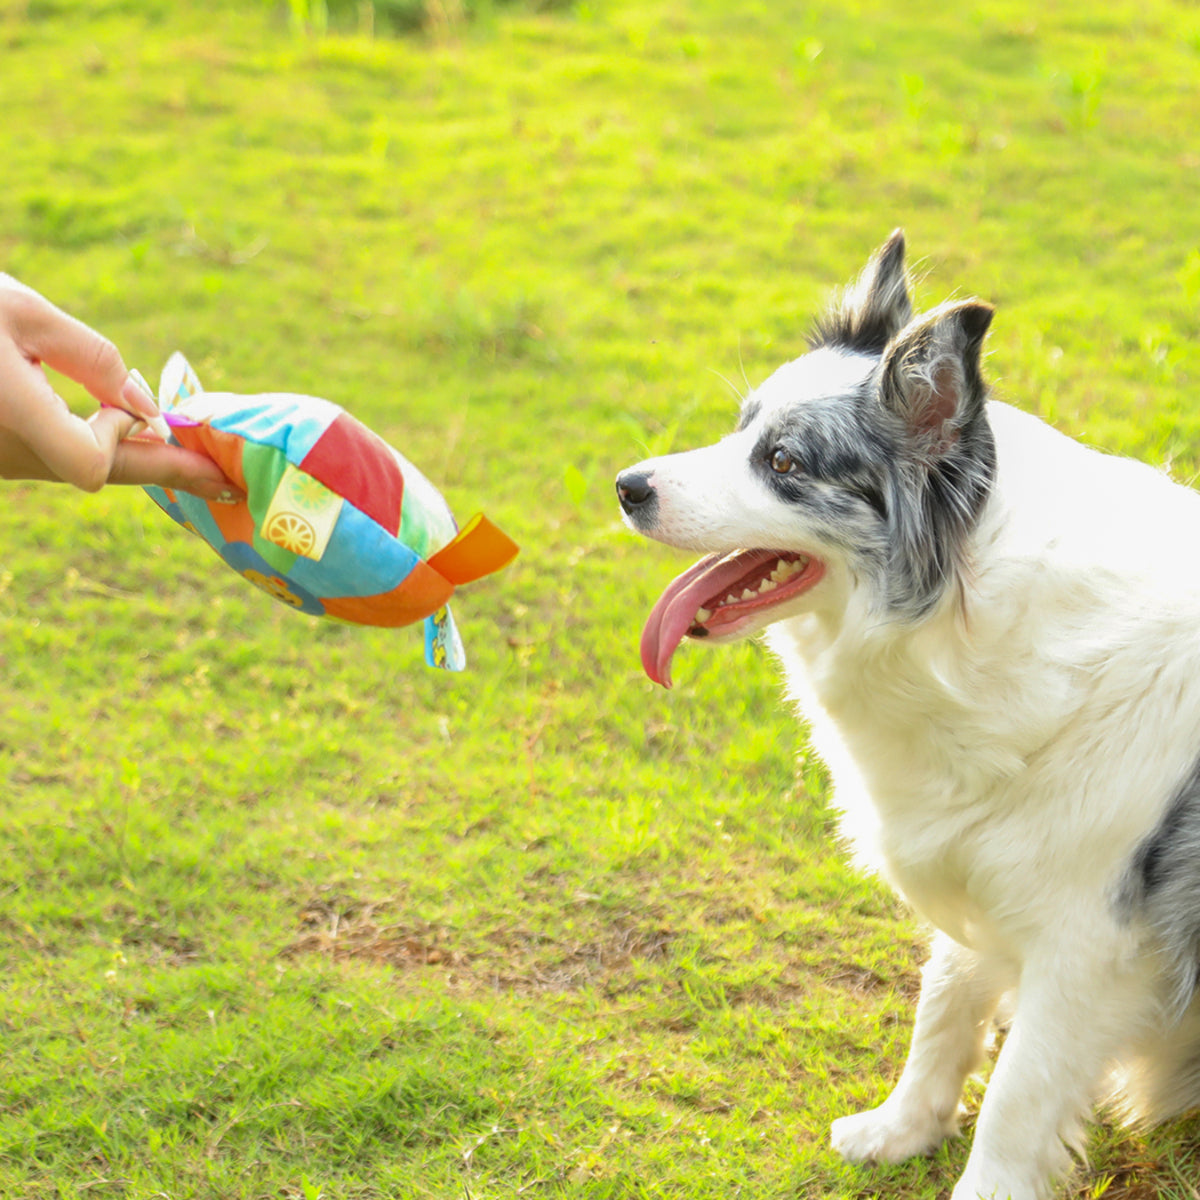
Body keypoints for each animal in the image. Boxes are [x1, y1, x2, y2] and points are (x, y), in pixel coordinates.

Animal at [614, 229, 1200, 1195]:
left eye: (783, 463)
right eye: (741, 430)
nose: (626, 485)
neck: (966, 622)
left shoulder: (1088, 936)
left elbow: (1019, 1092)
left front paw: (983, 1183)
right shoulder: (973, 851)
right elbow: (945, 1002)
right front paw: (903, 1128)